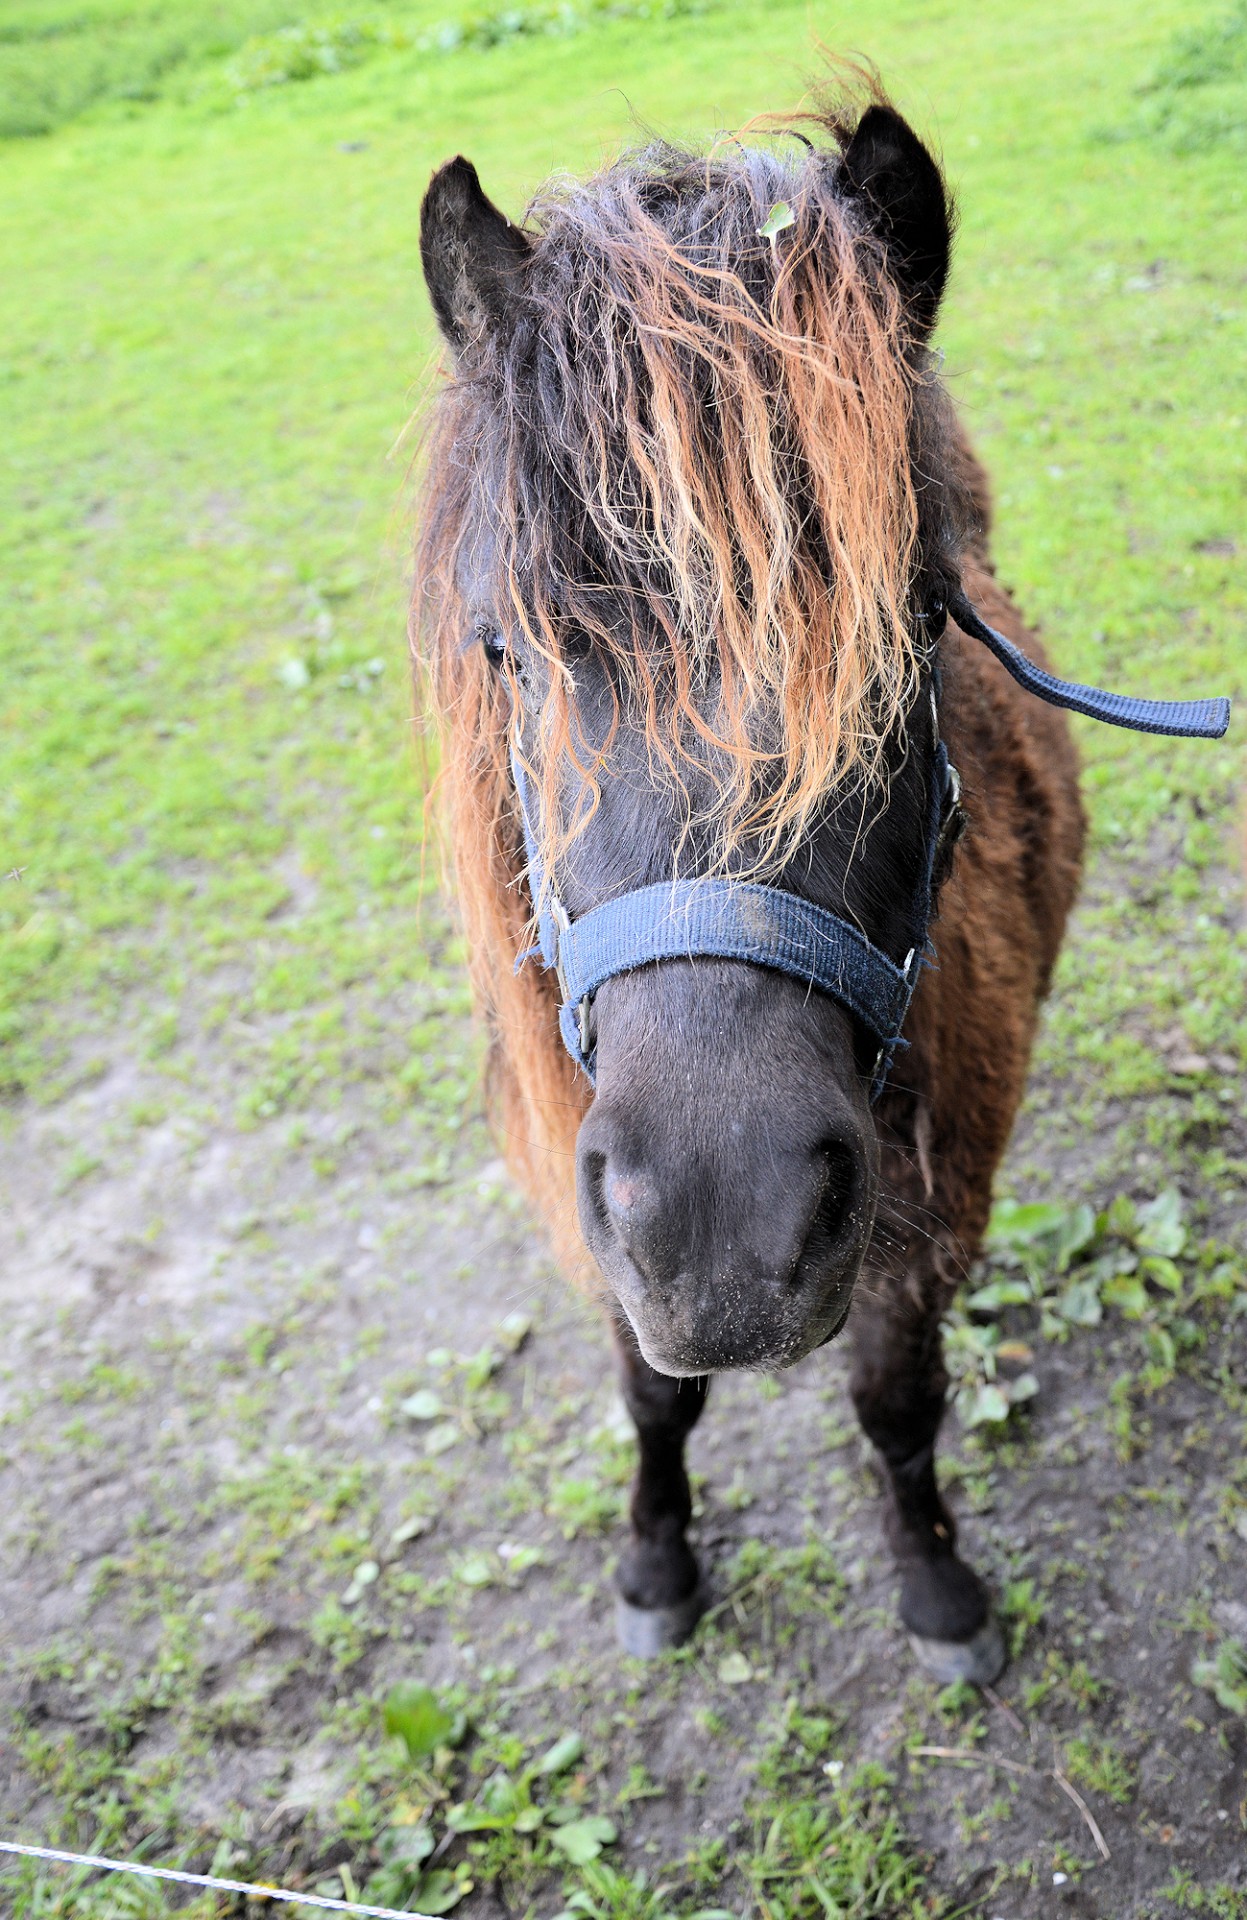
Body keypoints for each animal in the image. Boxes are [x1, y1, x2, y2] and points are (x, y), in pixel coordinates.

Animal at [413, 86, 1083, 1681]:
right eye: (506, 650)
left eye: (915, 623)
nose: (721, 1219)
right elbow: (654, 1395)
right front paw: (656, 1563)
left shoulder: (929, 1199)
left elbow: (895, 1398)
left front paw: (935, 1585)